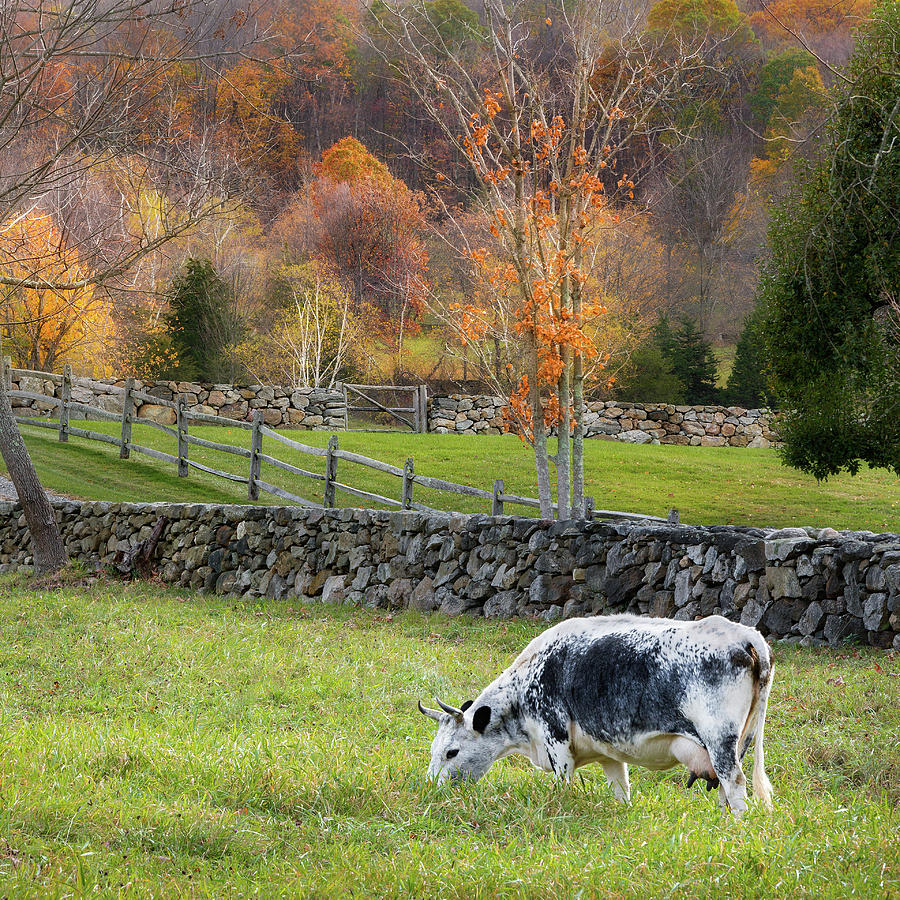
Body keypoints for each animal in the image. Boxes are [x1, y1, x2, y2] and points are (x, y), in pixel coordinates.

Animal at [416, 612, 772, 816]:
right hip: (741, 741)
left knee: (736, 784)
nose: (430, 788)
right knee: (726, 791)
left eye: (451, 752)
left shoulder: (556, 738)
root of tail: (746, 635)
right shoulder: (607, 751)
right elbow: (621, 790)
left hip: (720, 741)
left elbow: (564, 784)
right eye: (434, 750)